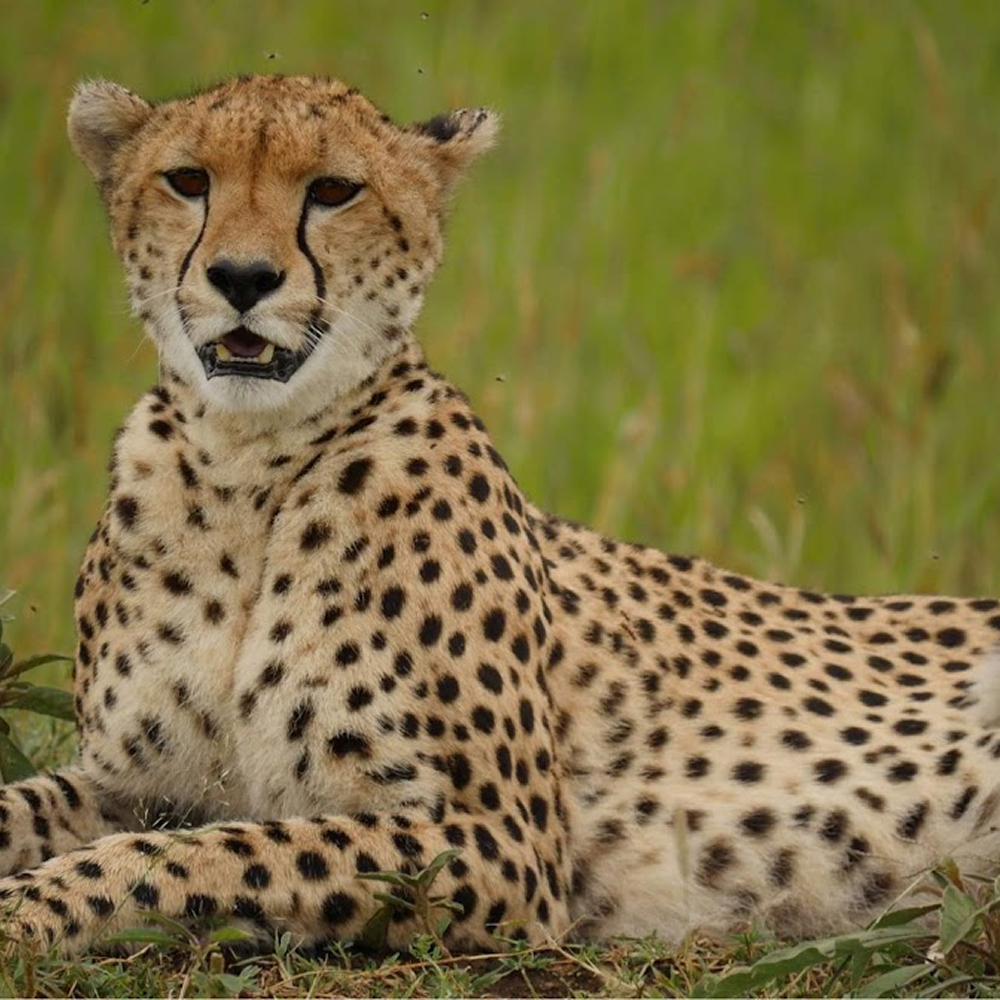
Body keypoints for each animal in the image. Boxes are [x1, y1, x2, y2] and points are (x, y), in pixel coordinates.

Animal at [3, 72, 1000, 958]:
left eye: (332, 190)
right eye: (188, 181)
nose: (242, 277)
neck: (246, 466)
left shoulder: (497, 841)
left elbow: (196, 855)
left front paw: (29, 911)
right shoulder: (133, 782)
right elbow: (52, 808)